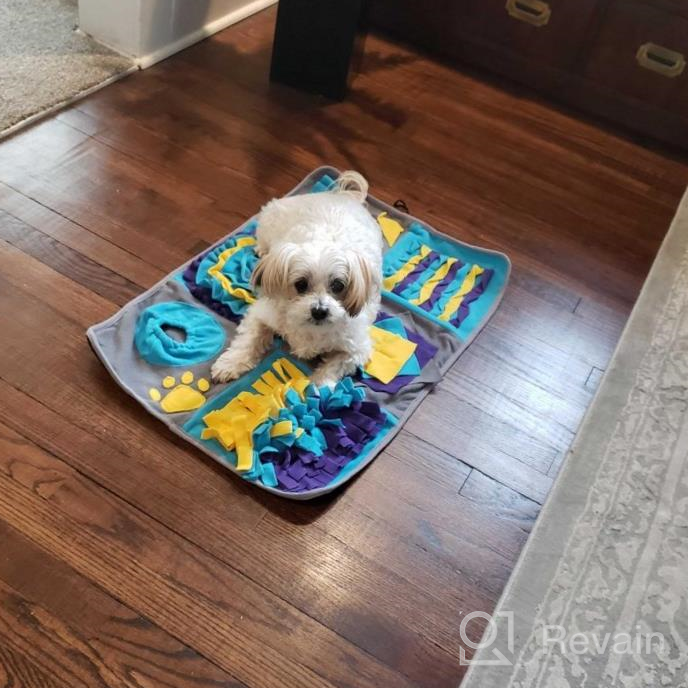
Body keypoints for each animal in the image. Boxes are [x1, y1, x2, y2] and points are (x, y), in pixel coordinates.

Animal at [210, 171, 382, 388]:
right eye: (300, 284)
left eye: (338, 285)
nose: (319, 311)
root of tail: (344, 196)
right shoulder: (262, 315)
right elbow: (249, 339)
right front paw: (231, 363)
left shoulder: (356, 348)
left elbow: (335, 365)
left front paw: (319, 385)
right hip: (269, 219)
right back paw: (262, 250)